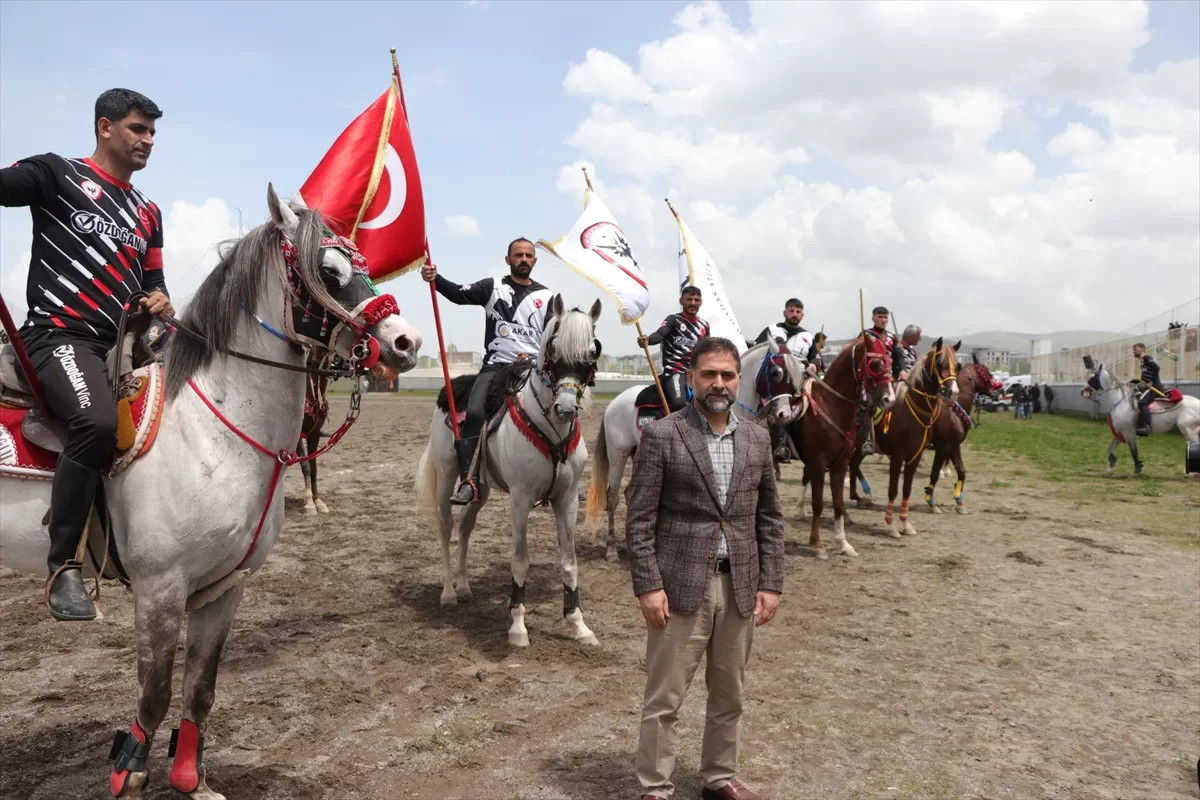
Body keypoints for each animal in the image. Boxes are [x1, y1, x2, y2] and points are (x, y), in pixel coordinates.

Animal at [1, 184, 422, 796]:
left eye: (365, 265)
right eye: (329, 271)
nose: (407, 342)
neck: (213, 431)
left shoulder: (224, 589)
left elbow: (200, 689)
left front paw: (191, 780)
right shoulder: (159, 590)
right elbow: (153, 697)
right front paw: (129, 778)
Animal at [420, 297, 604, 647]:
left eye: (591, 352)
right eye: (553, 349)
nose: (565, 409)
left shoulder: (566, 500)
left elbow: (570, 563)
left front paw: (579, 625)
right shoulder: (520, 500)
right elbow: (520, 561)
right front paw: (517, 627)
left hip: (480, 488)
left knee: (465, 527)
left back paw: (464, 586)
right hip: (446, 477)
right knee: (446, 528)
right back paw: (449, 591)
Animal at [580, 338, 806, 563]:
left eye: (798, 376)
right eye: (776, 373)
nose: (784, 414)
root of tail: (614, 403)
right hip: (618, 455)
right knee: (613, 497)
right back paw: (611, 549)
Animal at [782, 331, 897, 556]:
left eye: (890, 362)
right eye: (875, 364)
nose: (890, 399)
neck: (831, 404)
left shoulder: (840, 464)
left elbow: (838, 503)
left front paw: (843, 543)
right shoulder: (818, 463)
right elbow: (818, 504)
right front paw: (817, 544)